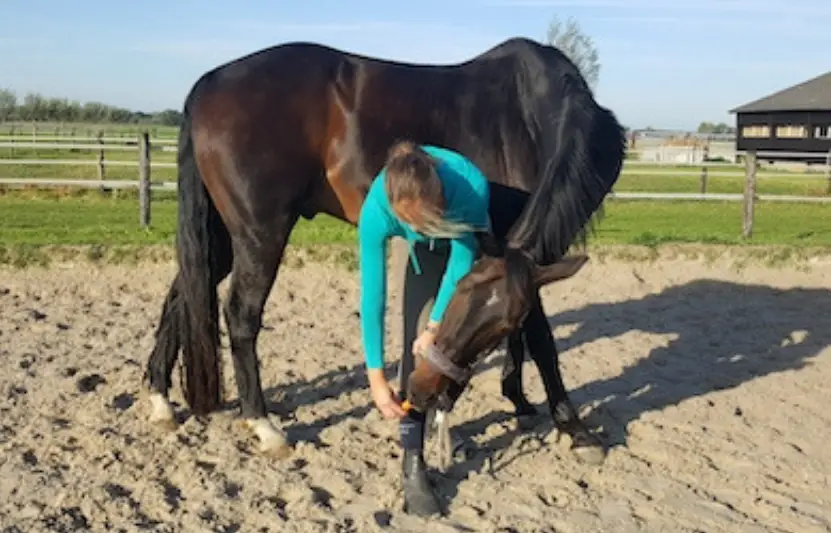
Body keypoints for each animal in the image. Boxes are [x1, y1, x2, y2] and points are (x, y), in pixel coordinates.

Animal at [143, 35, 625, 480]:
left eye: (483, 315)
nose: (425, 390)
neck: (532, 114)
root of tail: (207, 84)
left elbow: (524, 332)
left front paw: (521, 401)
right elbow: (540, 335)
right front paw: (574, 428)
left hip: (222, 236)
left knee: (183, 295)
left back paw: (159, 398)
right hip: (260, 235)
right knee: (240, 315)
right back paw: (264, 425)